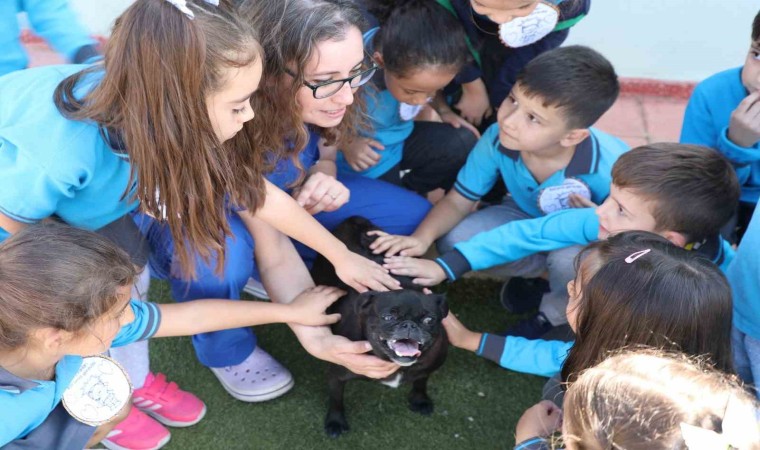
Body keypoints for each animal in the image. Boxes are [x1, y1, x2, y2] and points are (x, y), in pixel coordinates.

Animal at [311, 216, 448, 438]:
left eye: (429, 320)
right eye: (388, 317)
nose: (409, 325)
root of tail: (355, 220)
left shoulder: (427, 368)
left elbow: (421, 380)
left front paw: (420, 399)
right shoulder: (336, 374)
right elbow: (336, 399)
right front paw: (335, 422)